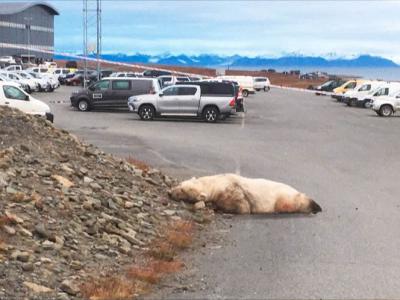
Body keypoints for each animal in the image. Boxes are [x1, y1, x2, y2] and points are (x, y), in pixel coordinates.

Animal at [169, 172, 322, 214]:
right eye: (179, 185)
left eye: (182, 191)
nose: (170, 193)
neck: (218, 181)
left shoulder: (233, 191)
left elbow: (242, 207)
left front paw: (215, 206)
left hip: (285, 198)